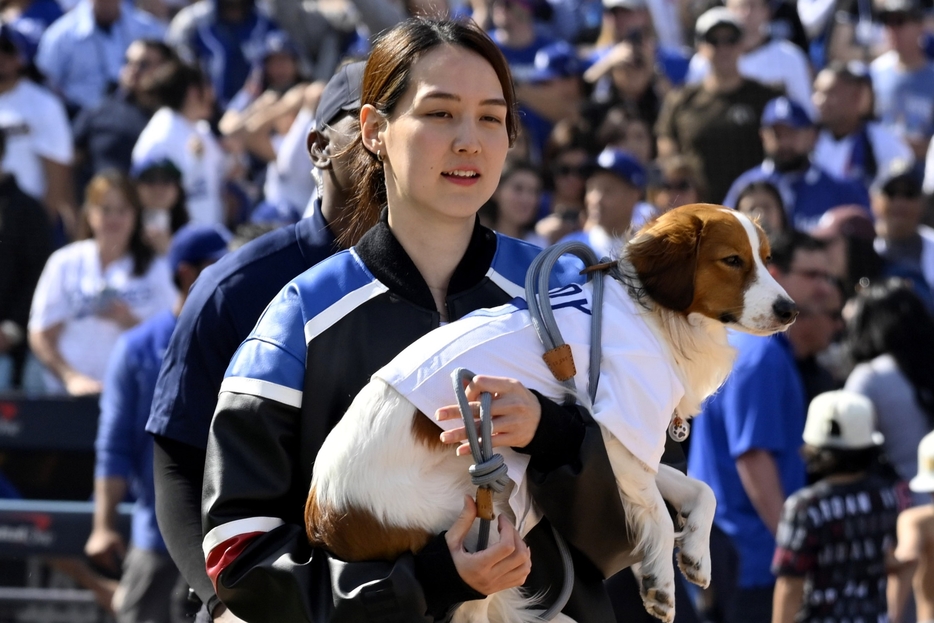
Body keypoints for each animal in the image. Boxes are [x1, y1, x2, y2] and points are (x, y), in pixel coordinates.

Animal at [306, 202, 796, 620]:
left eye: (766, 257)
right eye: (732, 260)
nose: (790, 309)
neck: (652, 311)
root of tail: (321, 515)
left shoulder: (629, 443)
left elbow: (701, 490)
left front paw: (696, 553)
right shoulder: (619, 428)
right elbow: (657, 508)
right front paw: (660, 582)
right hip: (478, 518)